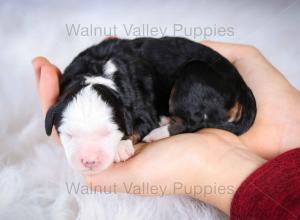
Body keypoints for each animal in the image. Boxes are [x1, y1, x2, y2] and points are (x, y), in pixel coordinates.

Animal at [45, 36, 256, 174]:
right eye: (68, 135)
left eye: (108, 133)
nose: (89, 161)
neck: (96, 72)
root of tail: (241, 84)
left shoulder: (143, 112)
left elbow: (137, 128)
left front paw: (121, 147)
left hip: (193, 74)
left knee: (193, 121)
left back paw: (158, 133)